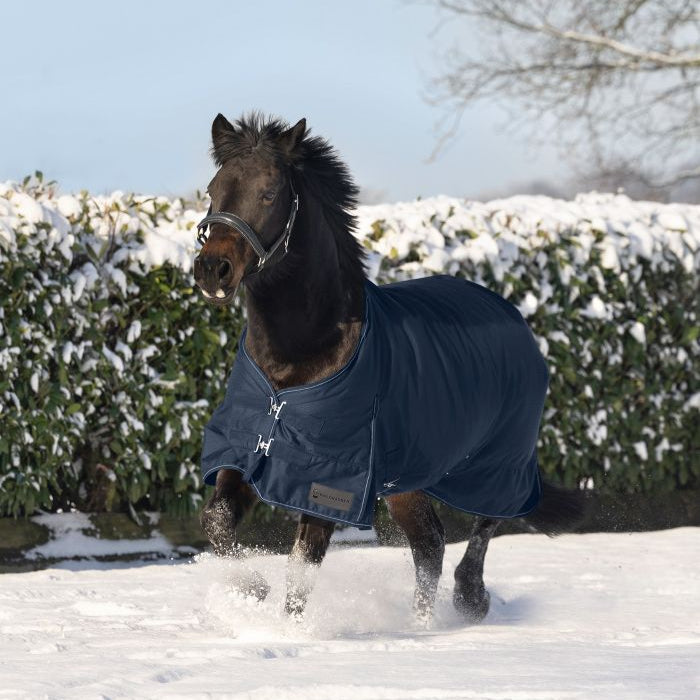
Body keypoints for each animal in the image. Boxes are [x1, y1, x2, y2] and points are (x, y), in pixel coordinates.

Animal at [193, 112, 584, 620]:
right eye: (213, 188)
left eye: (270, 192)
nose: (212, 269)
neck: (295, 361)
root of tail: (515, 318)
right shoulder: (245, 450)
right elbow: (217, 521)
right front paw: (251, 590)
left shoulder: (331, 478)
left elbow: (302, 564)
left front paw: (285, 628)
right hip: (409, 478)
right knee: (429, 542)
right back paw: (423, 622)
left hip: (499, 462)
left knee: (485, 523)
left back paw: (469, 600)